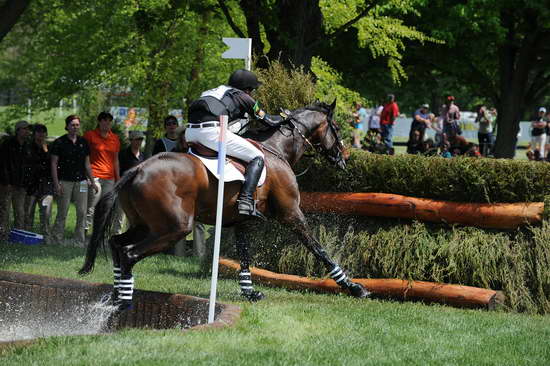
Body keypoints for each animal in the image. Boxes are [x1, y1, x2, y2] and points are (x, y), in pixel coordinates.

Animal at [78, 100, 370, 308]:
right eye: (337, 129)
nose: (343, 158)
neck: (277, 151)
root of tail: (136, 169)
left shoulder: (242, 221)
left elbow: (244, 257)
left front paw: (250, 293)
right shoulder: (291, 213)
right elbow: (318, 249)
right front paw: (354, 287)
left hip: (146, 224)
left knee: (117, 244)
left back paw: (116, 296)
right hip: (174, 228)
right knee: (129, 253)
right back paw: (124, 303)